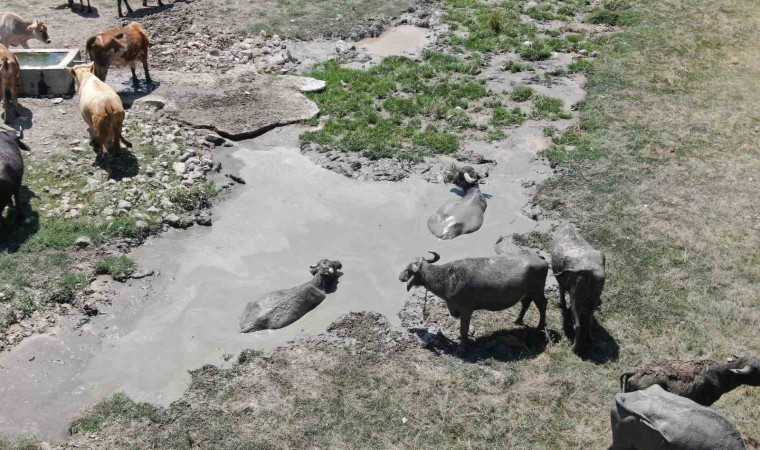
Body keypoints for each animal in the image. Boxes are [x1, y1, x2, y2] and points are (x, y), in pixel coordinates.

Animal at [398, 251, 548, 346]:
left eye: (408, 268)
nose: (400, 277)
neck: (447, 279)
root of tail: (539, 257)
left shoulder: (466, 310)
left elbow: (463, 329)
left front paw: (463, 346)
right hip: (527, 293)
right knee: (526, 303)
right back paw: (517, 321)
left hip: (537, 291)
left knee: (542, 305)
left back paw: (539, 328)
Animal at [552, 223, 604, 354]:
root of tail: (588, 271)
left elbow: (561, 291)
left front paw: (562, 304)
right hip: (594, 297)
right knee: (589, 321)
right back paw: (591, 339)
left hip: (575, 298)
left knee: (578, 325)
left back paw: (574, 348)